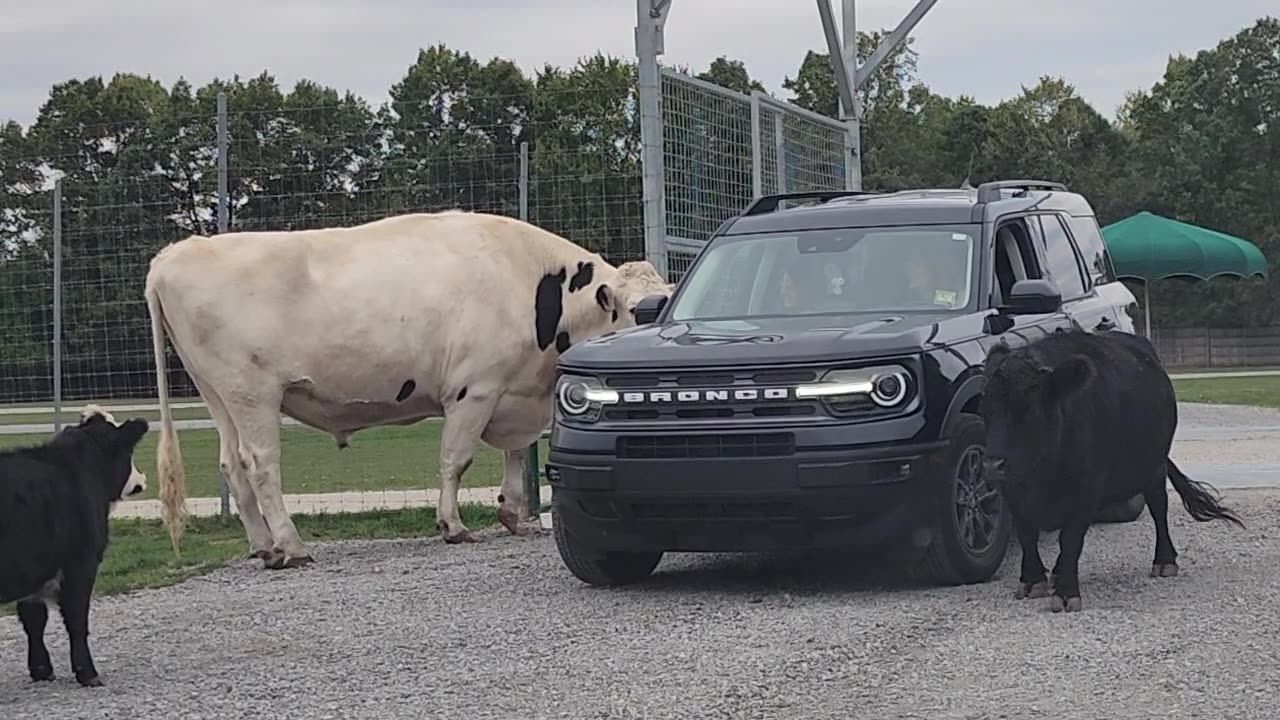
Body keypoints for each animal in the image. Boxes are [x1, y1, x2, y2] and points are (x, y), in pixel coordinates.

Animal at [0, 404, 149, 687]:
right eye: (129, 452)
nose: (142, 480)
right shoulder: (80, 563)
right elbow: (77, 619)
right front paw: (88, 673)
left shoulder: (34, 570)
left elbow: (34, 621)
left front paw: (41, 670)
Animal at [145, 210, 673, 569]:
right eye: (635, 309)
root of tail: (174, 254)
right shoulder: (474, 390)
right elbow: (456, 460)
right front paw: (453, 526)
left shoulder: (513, 393)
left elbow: (516, 453)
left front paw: (513, 515)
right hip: (252, 392)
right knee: (260, 464)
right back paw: (291, 546)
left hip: (217, 394)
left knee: (231, 465)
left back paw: (264, 547)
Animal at [979, 329, 1244, 613]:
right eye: (986, 408)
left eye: (1033, 409)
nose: (993, 464)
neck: (1040, 476)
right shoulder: (1013, 491)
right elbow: (1027, 535)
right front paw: (1032, 580)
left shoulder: (1085, 489)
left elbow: (1070, 540)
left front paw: (1066, 593)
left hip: (1154, 468)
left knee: (1158, 509)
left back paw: (1164, 561)